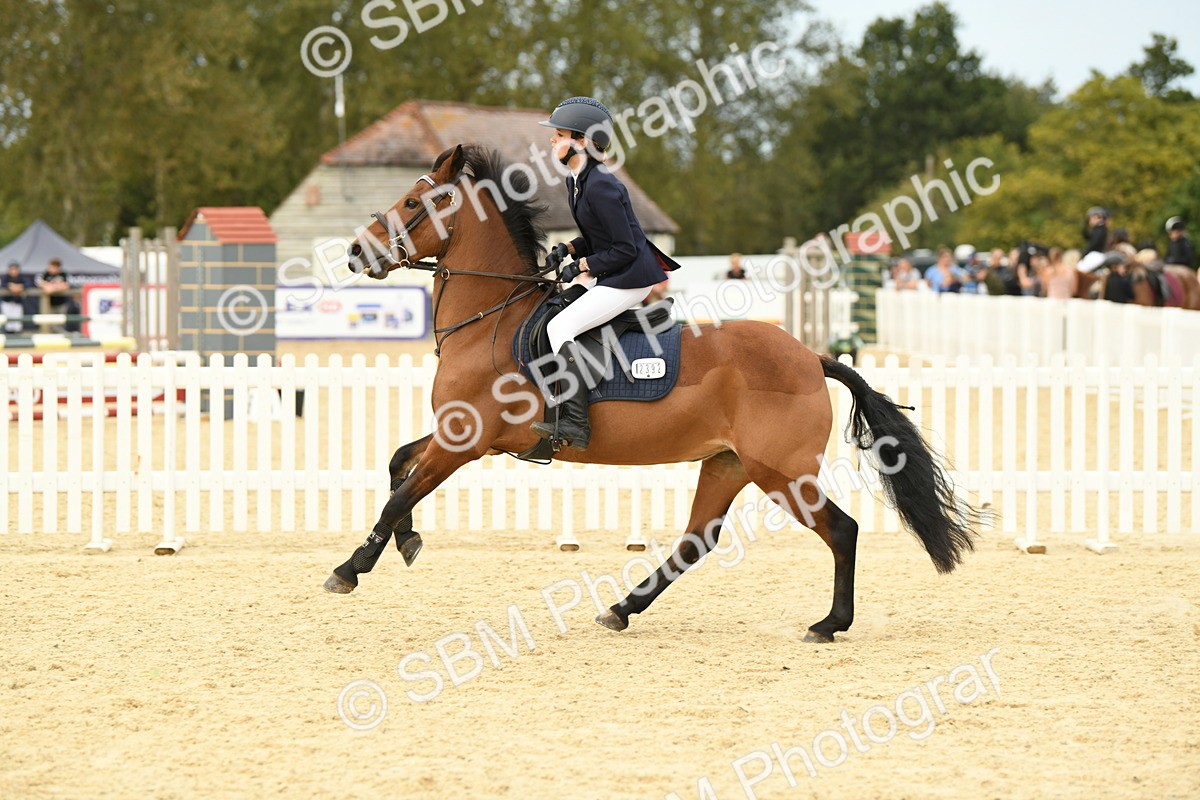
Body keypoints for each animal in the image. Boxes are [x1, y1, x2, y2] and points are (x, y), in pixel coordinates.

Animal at [324, 144, 978, 643]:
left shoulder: (465, 439)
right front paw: (406, 542)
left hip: (781, 472)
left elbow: (397, 493)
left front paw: (352, 568)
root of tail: (812, 356)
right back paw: (621, 609)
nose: (355, 251)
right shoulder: (456, 433)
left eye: (413, 203)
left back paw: (829, 624)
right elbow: (398, 466)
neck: (492, 318)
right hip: (728, 464)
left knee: (841, 531)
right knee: (697, 541)